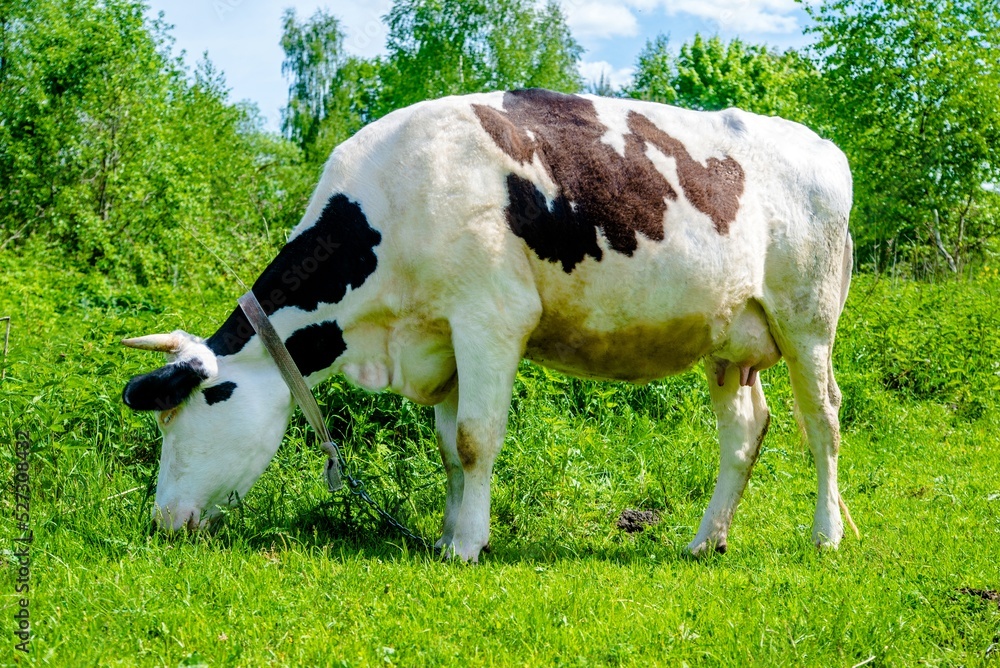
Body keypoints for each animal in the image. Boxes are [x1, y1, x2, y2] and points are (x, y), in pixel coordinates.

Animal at [119, 86, 852, 560]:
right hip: (730, 339)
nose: (162, 521)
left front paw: (467, 545)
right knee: (744, 432)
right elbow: (448, 447)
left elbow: (475, 439)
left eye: (206, 400)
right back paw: (706, 541)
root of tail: (821, 145)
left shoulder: (490, 318)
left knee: (822, 422)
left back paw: (825, 535)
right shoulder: (441, 337)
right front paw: (448, 533)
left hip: (807, 321)